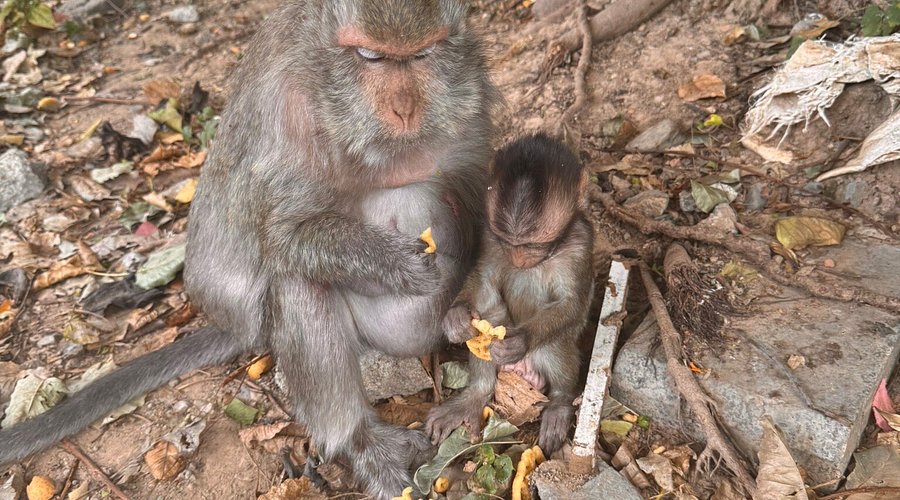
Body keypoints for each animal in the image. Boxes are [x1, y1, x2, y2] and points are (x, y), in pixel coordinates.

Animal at [0, 2, 499, 498]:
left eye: (423, 53)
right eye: (369, 56)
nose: (404, 109)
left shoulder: (473, 95)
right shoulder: (290, 113)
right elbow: (284, 237)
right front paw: (397, 263)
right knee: (299, 283)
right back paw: (360, 441)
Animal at [425, 133, 594, 456]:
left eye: (533, 245)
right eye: (508, 241)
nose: (518, 260)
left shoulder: (581, 246)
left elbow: (571, 305)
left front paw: (519, 340)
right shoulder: (489, 236)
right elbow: (484, 282)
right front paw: (456, 315)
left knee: (556, 342)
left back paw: (559, 403)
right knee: (492, 315)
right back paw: (474, 395)